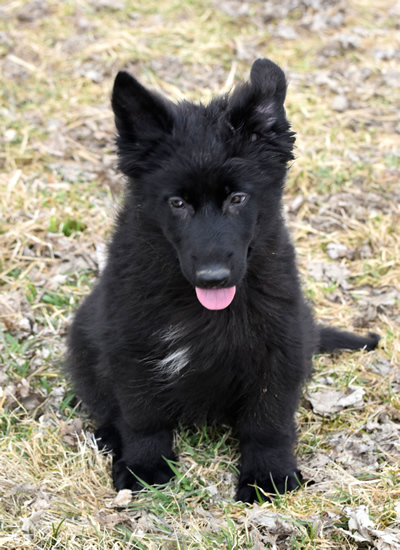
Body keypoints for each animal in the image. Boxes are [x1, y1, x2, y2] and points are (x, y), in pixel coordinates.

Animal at [67, 59, 380, 504]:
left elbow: (268, 421)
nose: (213, 278)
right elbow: (143, 417)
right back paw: (109, 437)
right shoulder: (131, 346)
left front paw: (267, 476)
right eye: (177, 202)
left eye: (238, 198)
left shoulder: (279, 348)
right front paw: (145, 467)